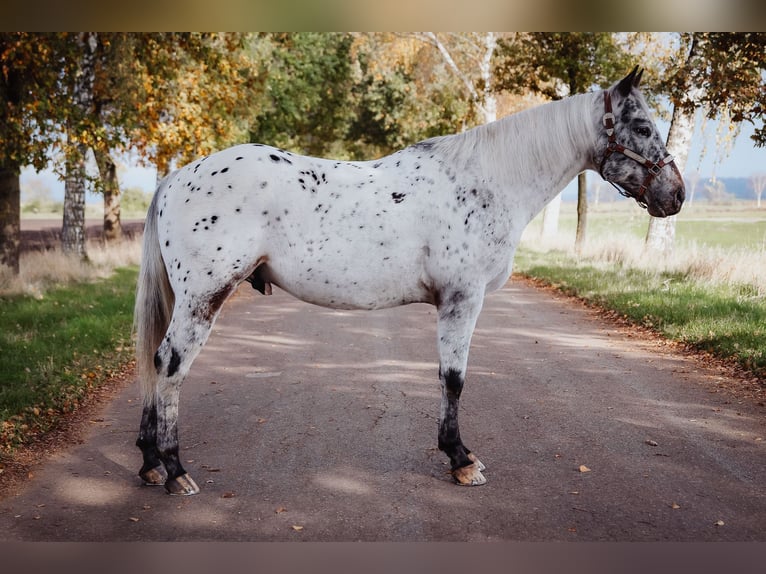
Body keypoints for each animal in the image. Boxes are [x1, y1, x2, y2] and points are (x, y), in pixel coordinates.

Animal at [135, 66, 688, 496]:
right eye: (642, 125)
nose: (676, 195)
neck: (487, 181)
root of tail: (180, 176)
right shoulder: (462, 300)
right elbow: (454, 378)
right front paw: (461, 460)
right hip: (203, 296)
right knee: (170, 364)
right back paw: (175, 471)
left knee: (156, 361)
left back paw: (149, 462)